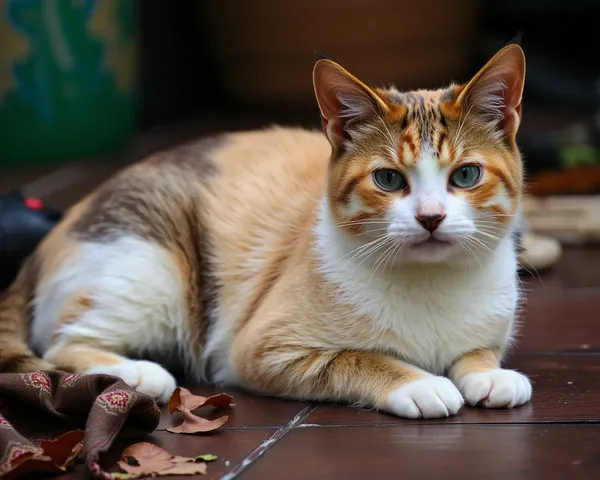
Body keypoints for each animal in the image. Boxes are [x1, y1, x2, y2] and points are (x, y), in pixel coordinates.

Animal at [0, 46, 532, 420]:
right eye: (388, 179)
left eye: (465, 175)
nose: (430, 217)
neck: (431, 282)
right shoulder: (263, 349)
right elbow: (361, 358)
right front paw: (419, 383)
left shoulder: (492, 321)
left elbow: (479, 349)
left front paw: (490, 375)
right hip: (150, 270)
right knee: (63, 345)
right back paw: (140, 374)